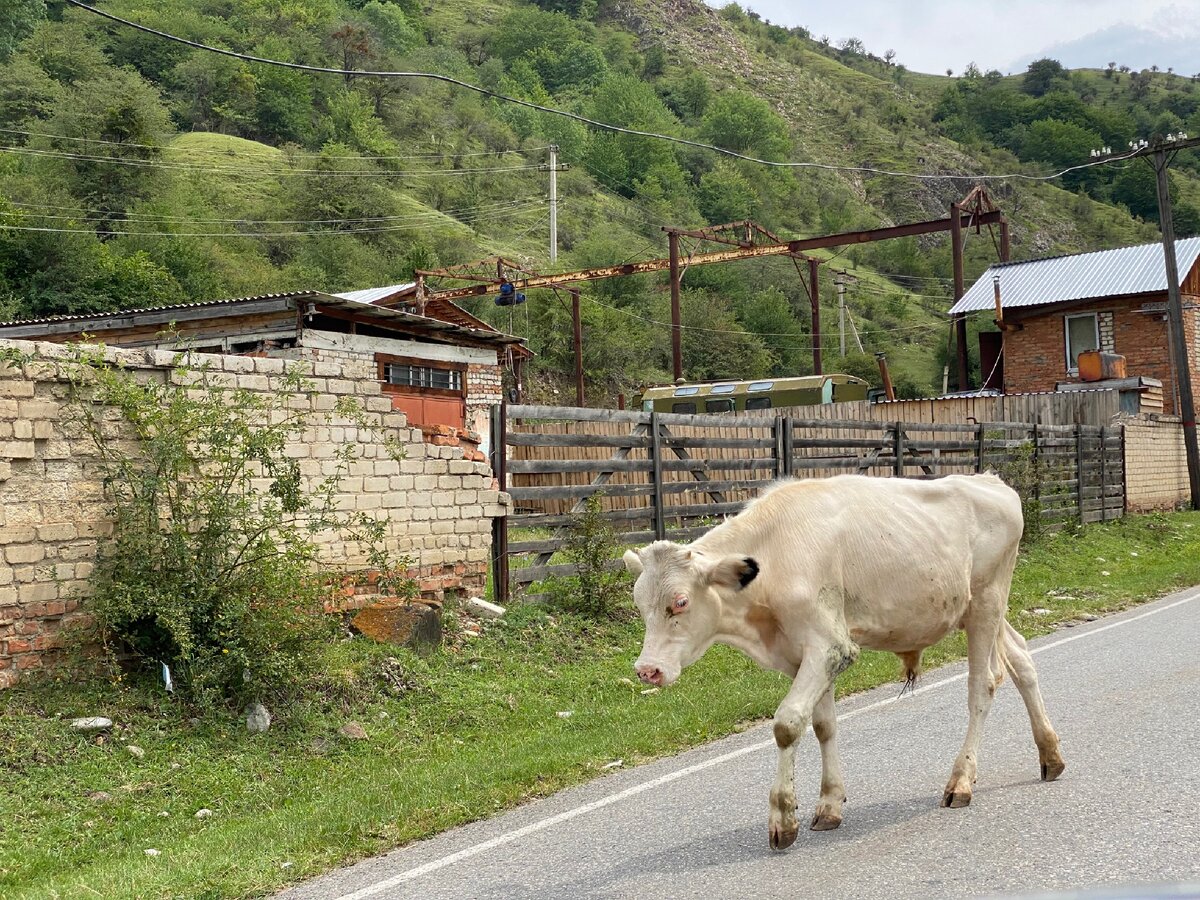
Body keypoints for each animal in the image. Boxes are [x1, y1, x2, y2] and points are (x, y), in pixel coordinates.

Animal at [624, 475, 1065, 849]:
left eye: (680, 602)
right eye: (639, 602)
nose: (647, 670)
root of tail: (988, 479)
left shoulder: (830, 645)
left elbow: (786, 724)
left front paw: (783, 819)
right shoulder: (803, 655)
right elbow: (823, 725)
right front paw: (830, 805)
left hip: (987, 601)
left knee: (982, 685)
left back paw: (961, 782)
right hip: (980, 610)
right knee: (1021, 659)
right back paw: (1050, 756)